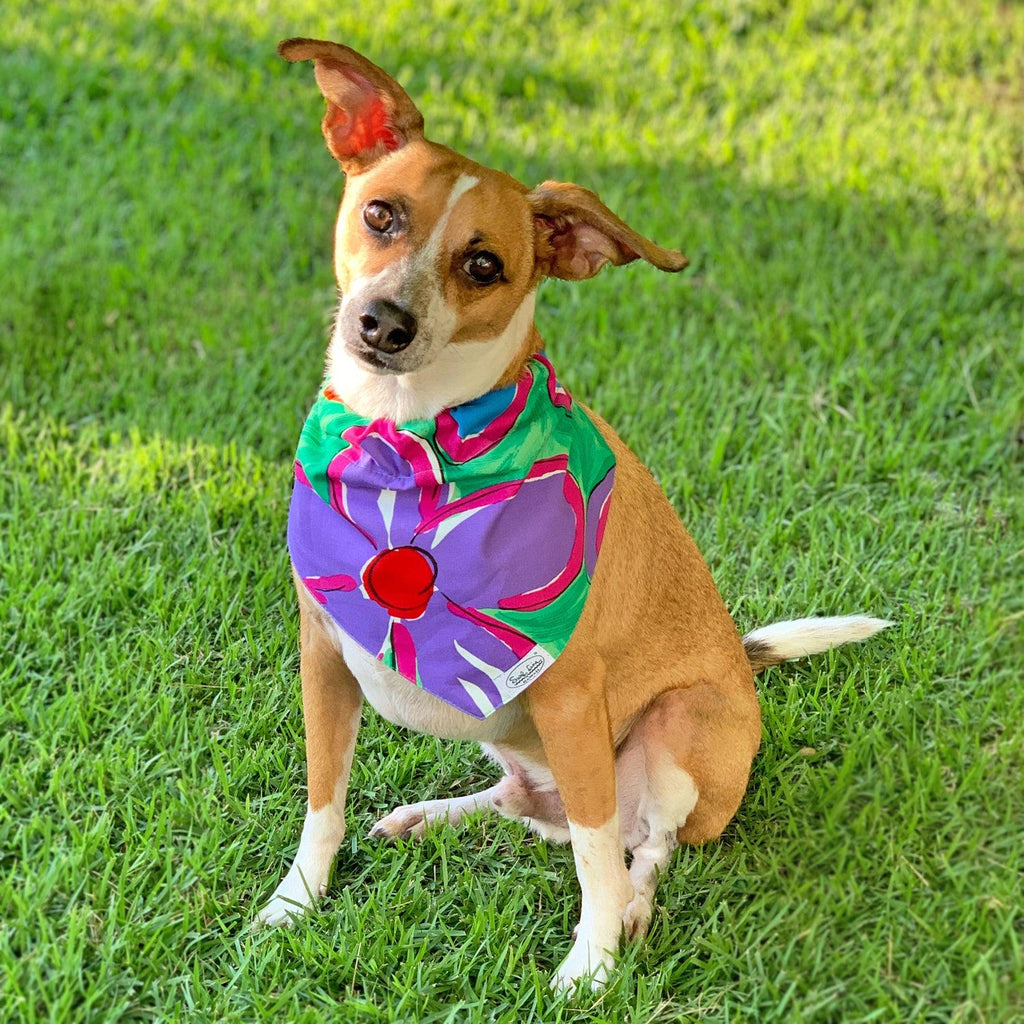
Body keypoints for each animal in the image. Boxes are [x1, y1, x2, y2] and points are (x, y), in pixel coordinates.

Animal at [256, 39, 888, 991]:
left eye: (484, 264)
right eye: (380, 214)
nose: (383, 322)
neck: (411, 447)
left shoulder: (569, 696)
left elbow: (597, 855)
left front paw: (590, 963)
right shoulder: (324, 658)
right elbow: (322, 801)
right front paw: (296, 901)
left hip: (674, 731)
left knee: (642, 845)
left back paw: (630, 911)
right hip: (517, 744)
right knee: (526, 804)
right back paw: (431, 814)